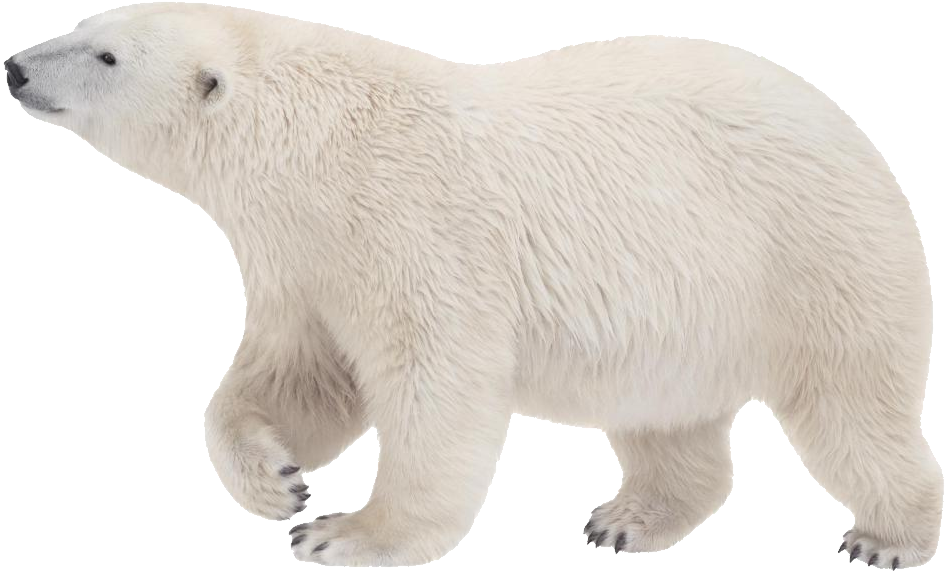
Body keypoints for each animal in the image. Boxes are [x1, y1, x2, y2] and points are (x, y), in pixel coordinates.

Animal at [5, 2, 940, 568]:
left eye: (105, 54)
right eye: (83, 23)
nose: (15, 66)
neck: (316, 142)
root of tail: (857, 135)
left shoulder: (411, 226)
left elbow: (435, 385)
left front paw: (344, 532)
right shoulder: (303, 258)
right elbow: (296, 375)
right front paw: (275, 480)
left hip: (812, 258)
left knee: (851, 407)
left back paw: (887, 535)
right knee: (664, 420)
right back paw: (625, 519)